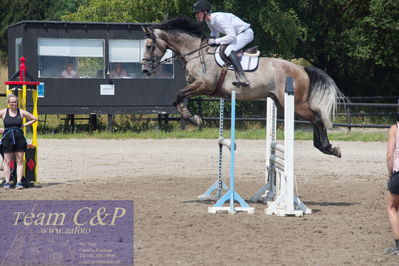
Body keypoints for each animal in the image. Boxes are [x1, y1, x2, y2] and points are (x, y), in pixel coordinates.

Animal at [142, 16, 346, 158]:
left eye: (150, 46)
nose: (145, 69)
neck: (196, 53)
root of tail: (302, 68)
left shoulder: (204, 85)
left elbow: (177, 95)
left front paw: (194, 119)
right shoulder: (196, 86)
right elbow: (178, 98)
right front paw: (192, 117)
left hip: (296, 103)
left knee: (317, 117)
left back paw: (327, 147)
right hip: (284, 102)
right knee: (315, 119)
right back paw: (323, 147)